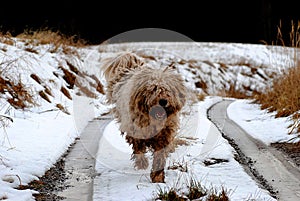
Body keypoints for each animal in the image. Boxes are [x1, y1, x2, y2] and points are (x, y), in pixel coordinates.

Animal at [102, 51, 186, 182]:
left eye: (168, 89)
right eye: (154, 89)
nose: (163, 101)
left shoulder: (164, 135)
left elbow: (159, 155)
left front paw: (158, 176)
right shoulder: (135, 131)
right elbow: (138, 148)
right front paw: (142, 164)